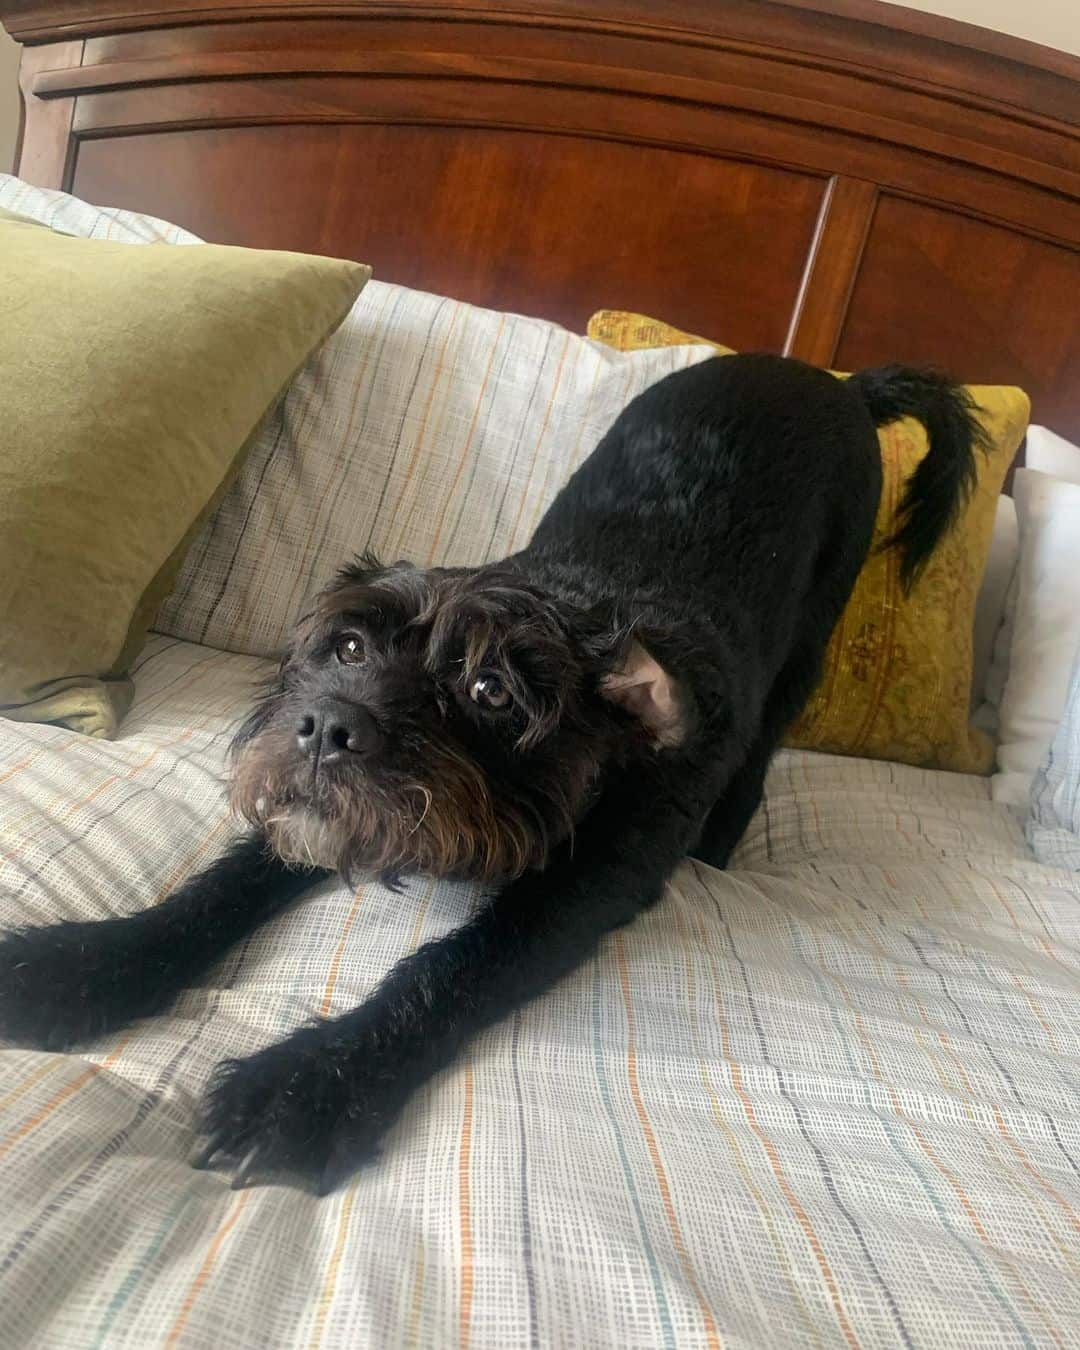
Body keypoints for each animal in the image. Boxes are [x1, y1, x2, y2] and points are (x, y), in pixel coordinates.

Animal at [0, 353, 982, 1188]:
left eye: (490, 690)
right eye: (347, 646)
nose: (326, 727)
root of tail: (837, 381)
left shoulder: (581, 889)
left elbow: (451, 968)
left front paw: (312, 1082)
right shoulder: (312, 826)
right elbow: (215, 890)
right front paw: (85, 964)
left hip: (812, 639)